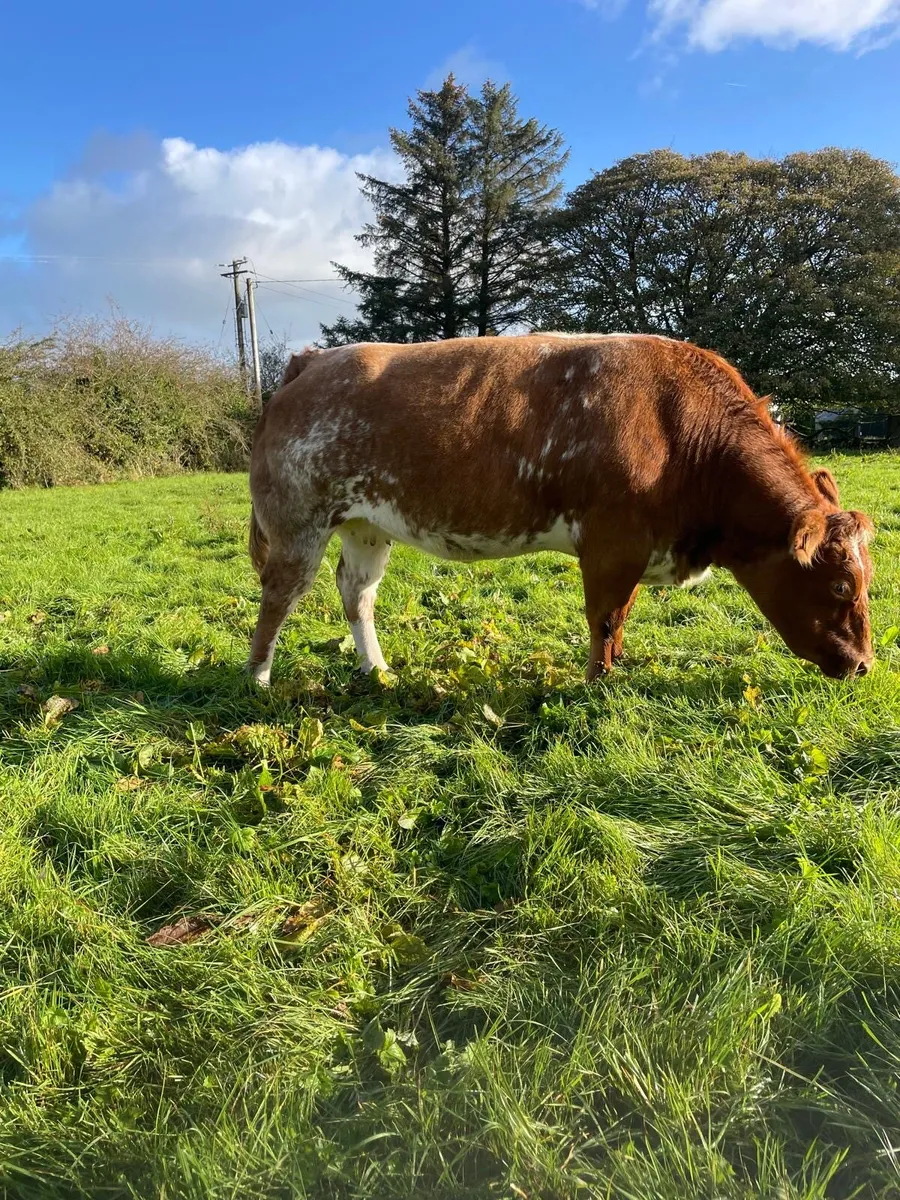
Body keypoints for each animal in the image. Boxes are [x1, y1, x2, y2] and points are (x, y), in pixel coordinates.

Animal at [246, 334, 874, 686]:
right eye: (841, 585)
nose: (867, 664)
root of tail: (314, 360)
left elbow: (619, 620)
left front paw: (611, 677)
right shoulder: (612, 544)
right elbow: (606, 618)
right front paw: (596, 686)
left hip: (365, 524)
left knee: (357, 592)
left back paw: (375, 670)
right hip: (298, 522)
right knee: (279, 594)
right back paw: (259, 680)